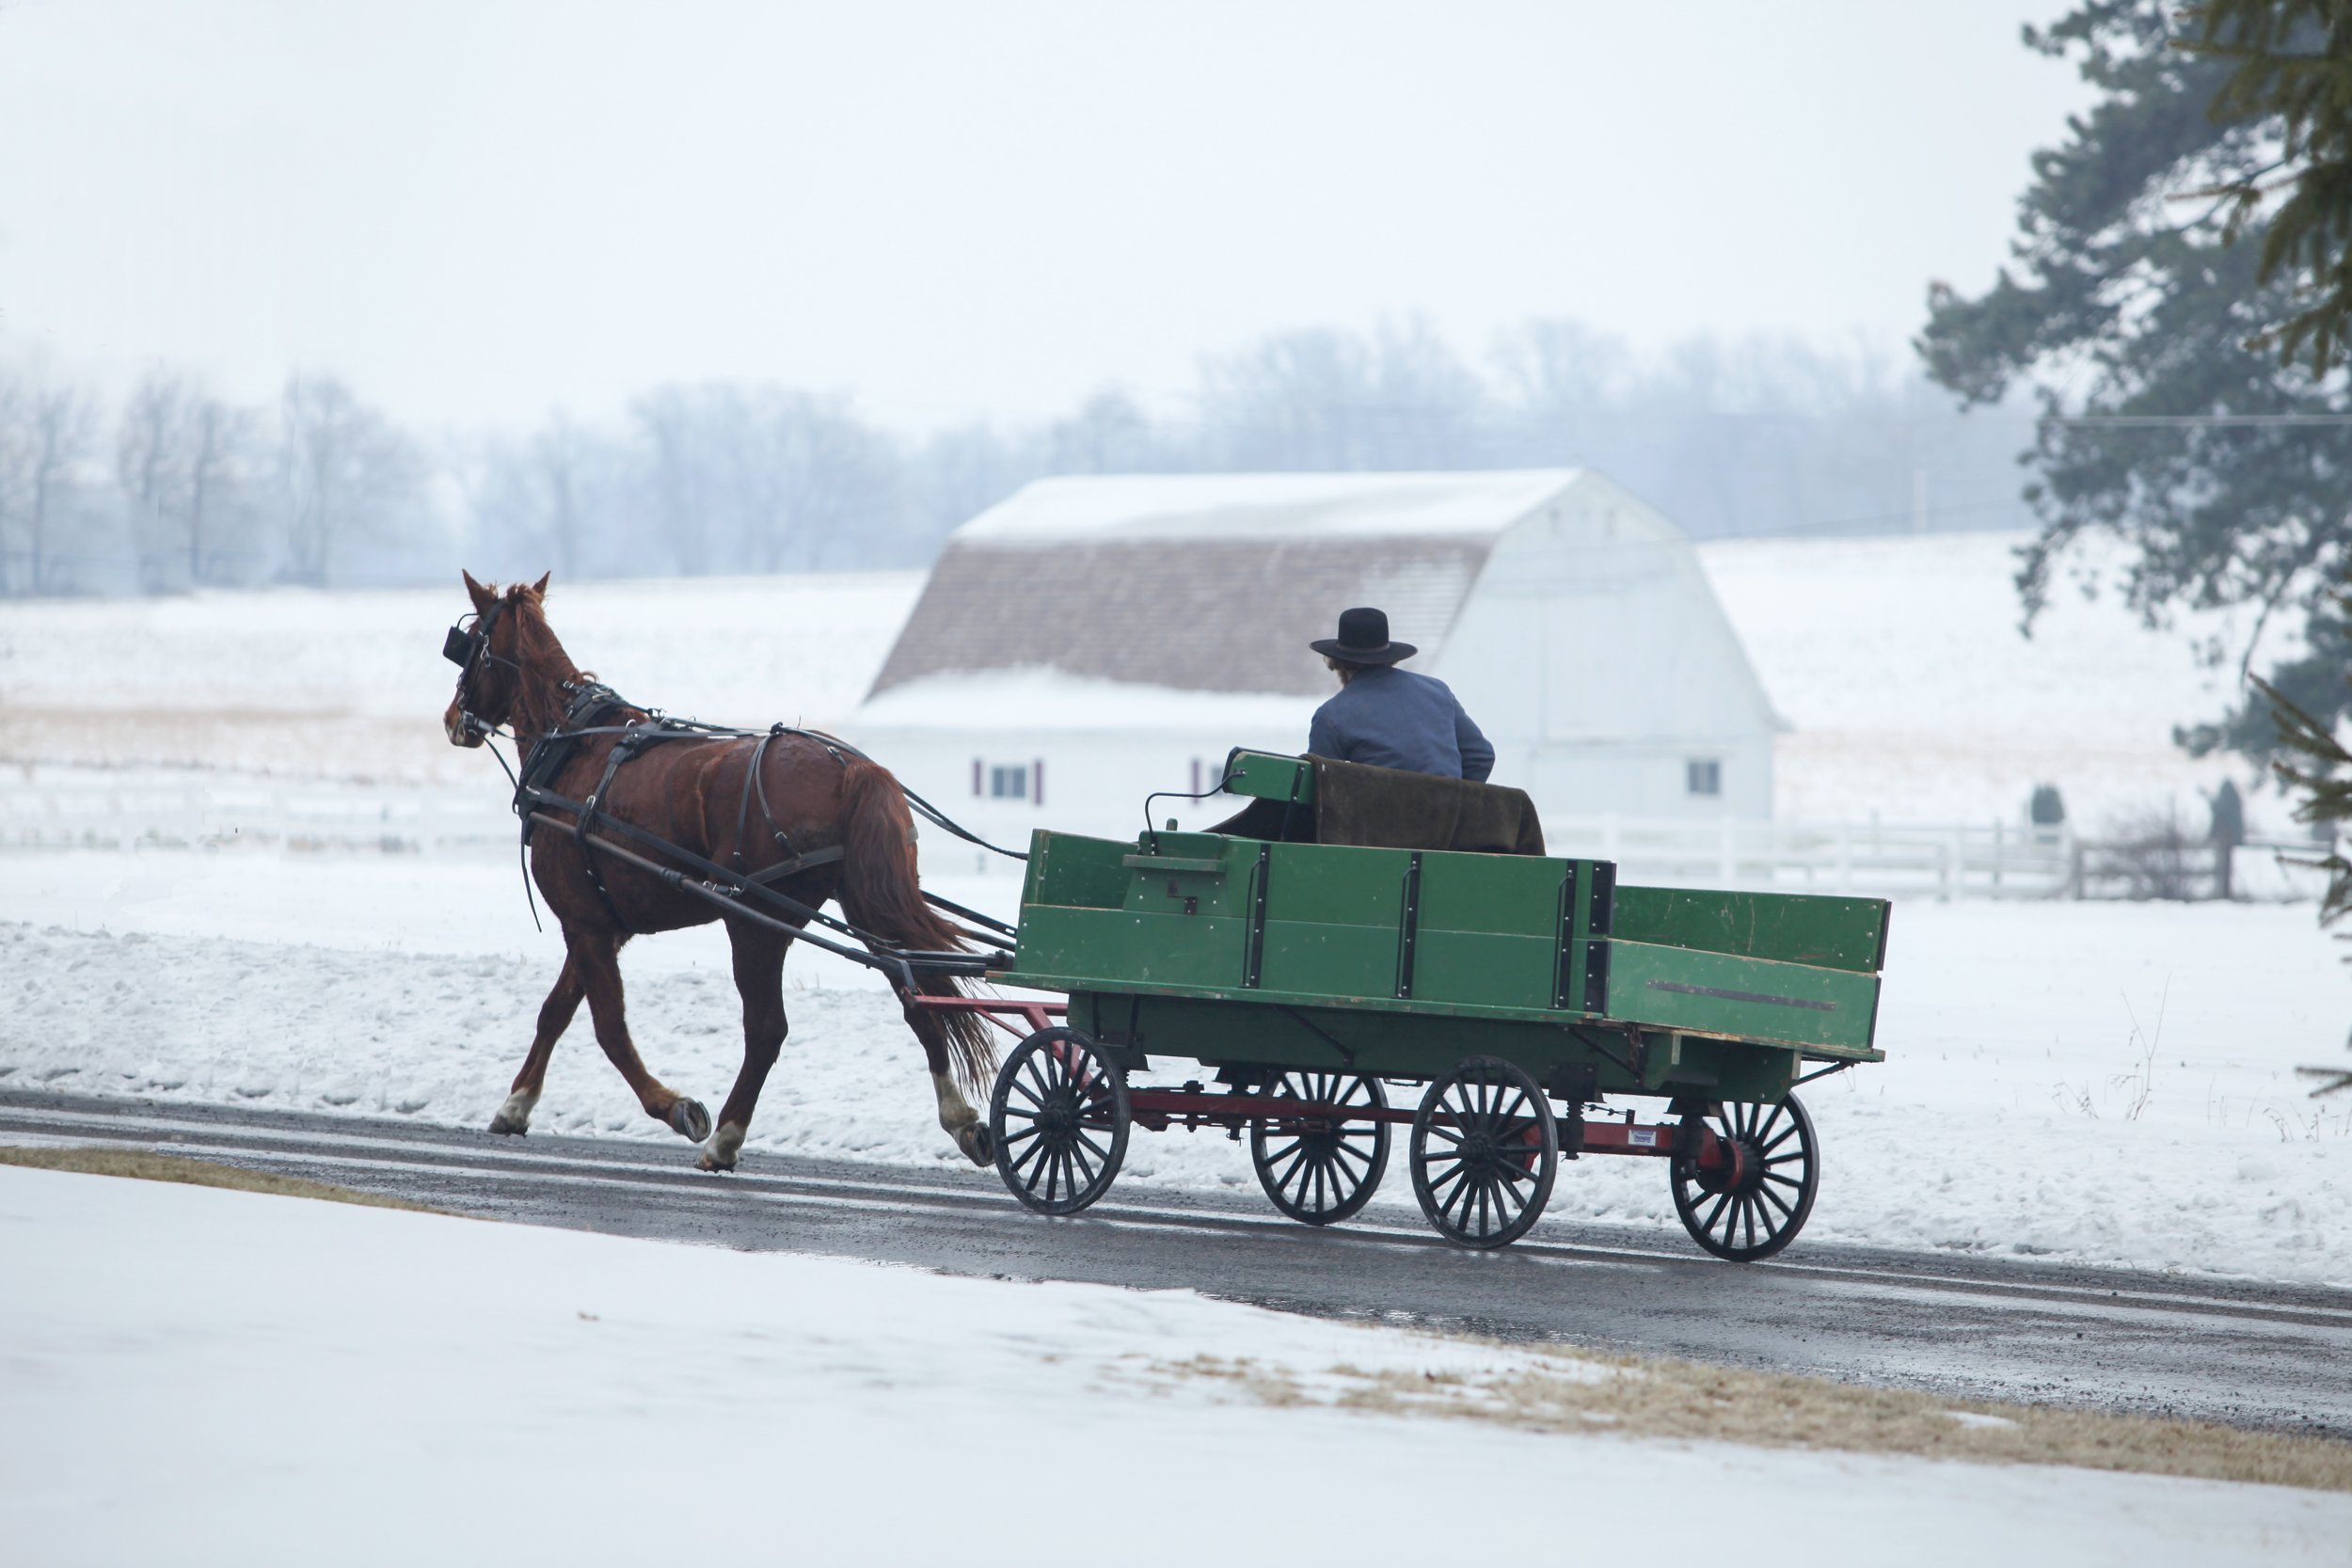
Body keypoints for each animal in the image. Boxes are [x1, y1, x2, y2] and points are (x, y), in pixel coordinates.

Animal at [442, 571, 993, 1170]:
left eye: (468, 643)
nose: (451, 720)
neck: (573, 747)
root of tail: (854, 769)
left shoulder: (584, 922)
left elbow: (608, 1026)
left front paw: (674, 1106)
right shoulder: (603, 925)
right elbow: (556, 1010)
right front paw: (515, 1105)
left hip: (754, 922)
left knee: (767, 1029)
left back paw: (725, 1137)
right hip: (866, 905)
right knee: (920, 1000)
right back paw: (961, 1119)